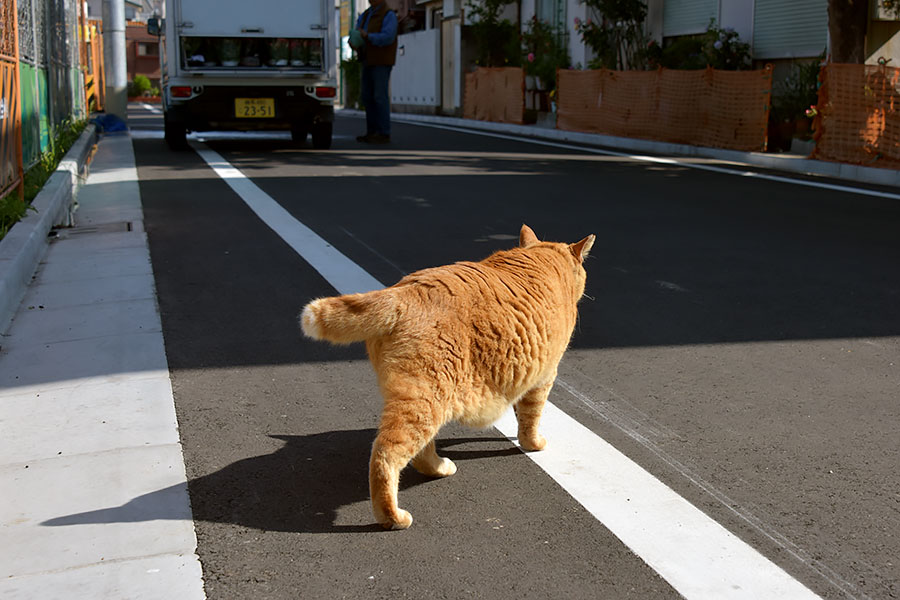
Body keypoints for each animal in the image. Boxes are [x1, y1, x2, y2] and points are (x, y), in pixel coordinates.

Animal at [302, 225, 596, 528]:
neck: (542, 258)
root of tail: (403, 292)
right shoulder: (544, 376)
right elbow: (531, 417)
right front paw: (533, 443)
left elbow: (520, 411)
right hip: (425, 401)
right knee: (386, 453)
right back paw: (393, 516)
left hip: (427, 399)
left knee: (420, 452)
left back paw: (441, 468)